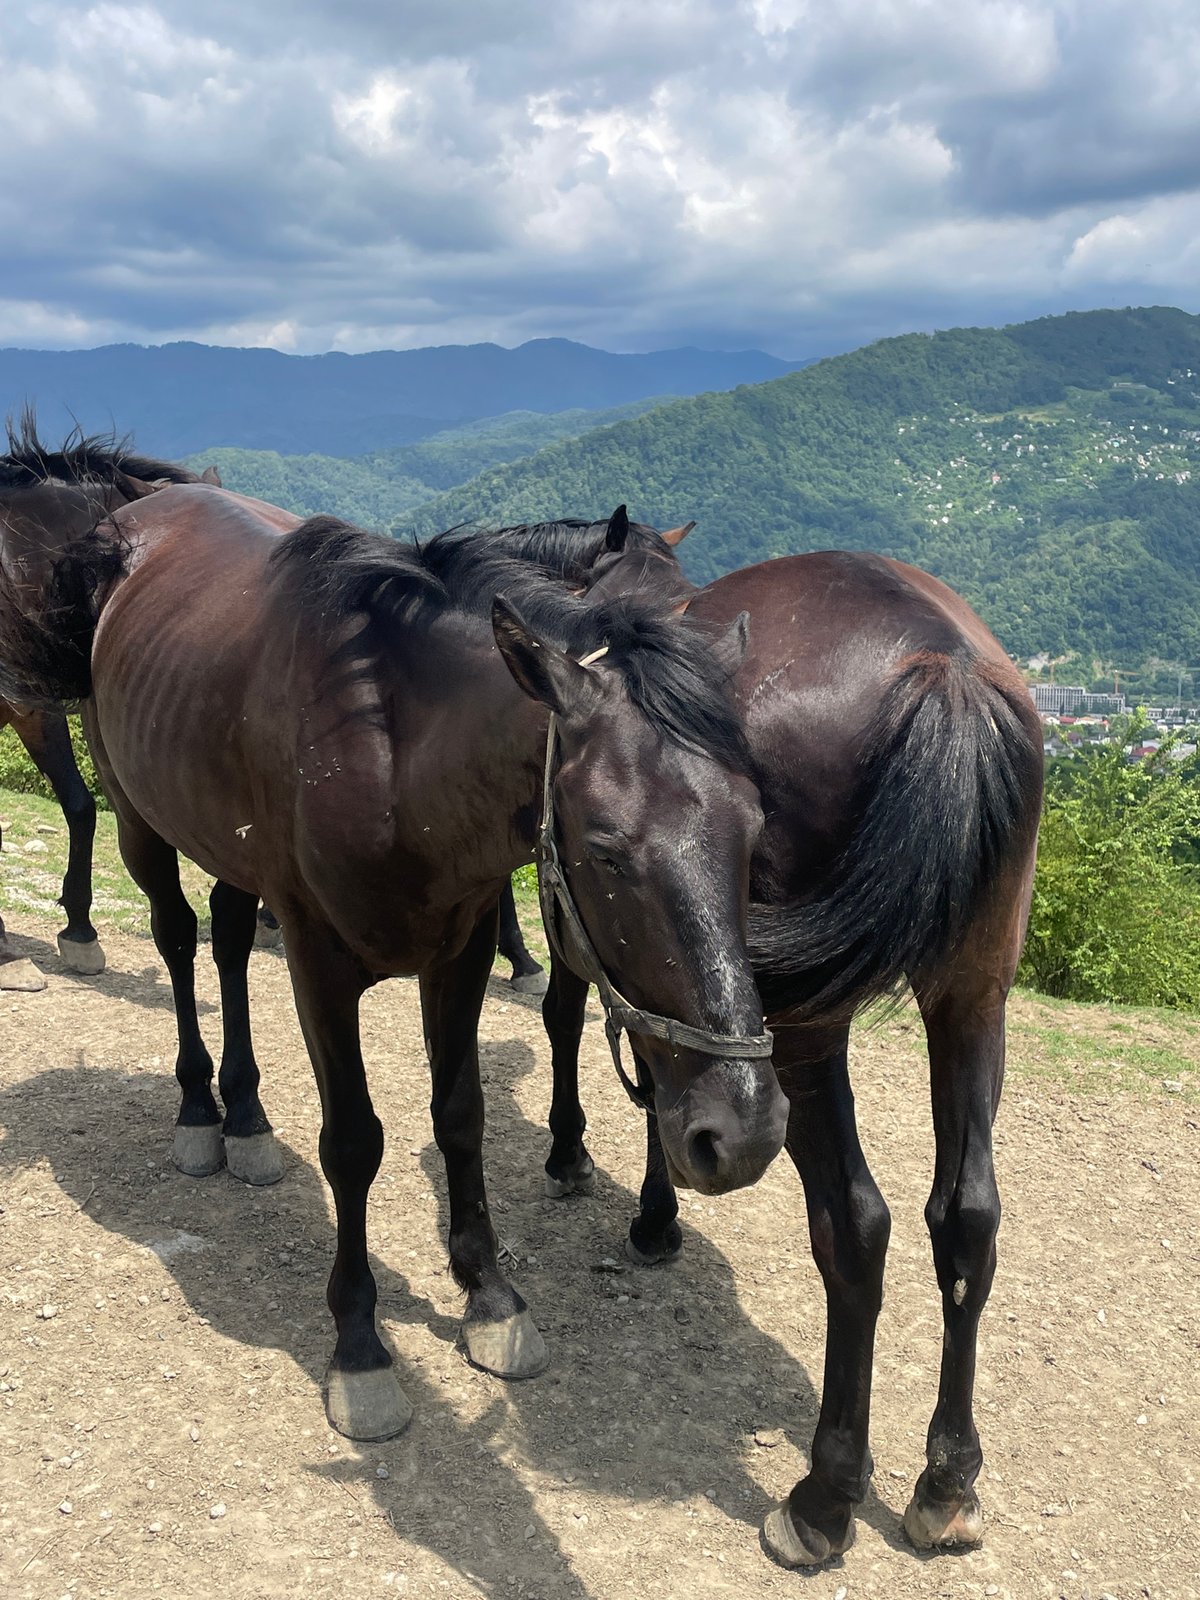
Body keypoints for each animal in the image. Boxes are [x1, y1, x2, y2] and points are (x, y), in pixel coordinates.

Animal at [0, 481, 788, 1440]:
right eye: (605, 850)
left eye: (754, 828)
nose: (743, 1131)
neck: (391, 753)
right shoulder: (318, 963)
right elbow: (353, 1142)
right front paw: (360, 1345)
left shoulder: (461, 951)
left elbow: (461, 1116)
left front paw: (491, 1297)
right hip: (139, 816)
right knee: (181, 942)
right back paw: (199, 1110)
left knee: (228, 940)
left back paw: (247, 1117)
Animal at [486, 515, 1043, 1565]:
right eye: (612, 851)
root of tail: (943, 665)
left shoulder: (600, 942)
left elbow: (581, 1027)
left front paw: (603, 1178)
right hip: (972, 994)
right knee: (968, 1218)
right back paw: (947, 1480)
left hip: (808, 1031)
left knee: (856, 1225)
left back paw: (822, 1498)